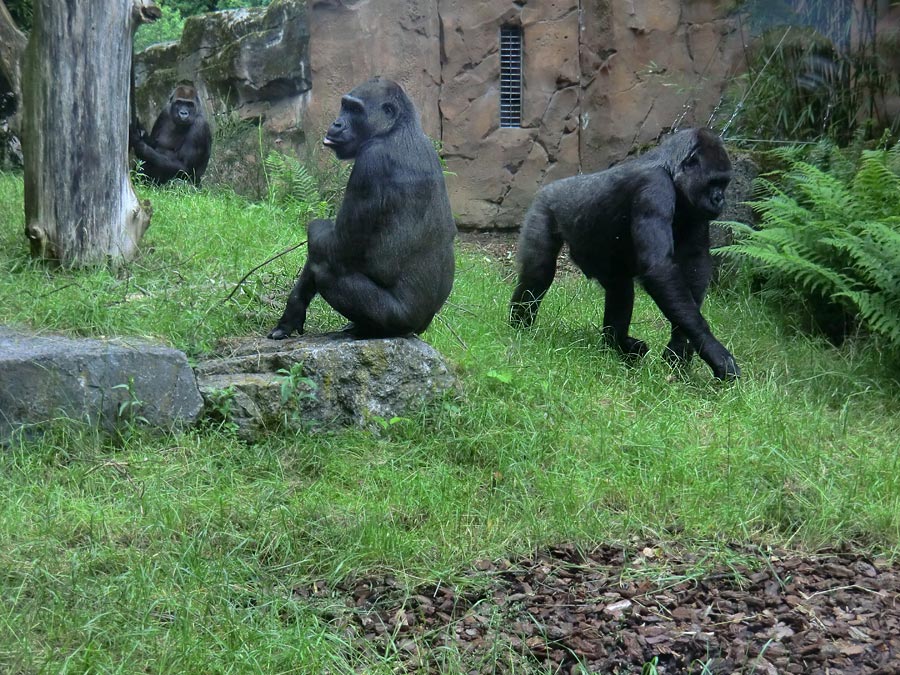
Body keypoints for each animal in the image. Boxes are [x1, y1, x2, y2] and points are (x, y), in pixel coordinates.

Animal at [264, 78, 454, 340]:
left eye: (355, 109)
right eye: (344, 105)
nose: (336, 123)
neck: (397, 128)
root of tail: (417, 327)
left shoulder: (370, 163)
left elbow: (336, 245)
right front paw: (293, 310)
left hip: (399, 321)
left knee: (326, 269)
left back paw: (368, 328)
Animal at [510, 127, 740, 380]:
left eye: (724, 183)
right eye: (713, 183)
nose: (719, 199)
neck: (670, 170)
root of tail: (551, 185)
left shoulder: (695, 209)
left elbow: (695, 265)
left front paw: (679, 349)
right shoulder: (654, 187)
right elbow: (659, 268)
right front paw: (716, 354)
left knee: (619, 289)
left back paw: (617, 345)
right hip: (543, 206)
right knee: (538, 273)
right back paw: (519, 327)